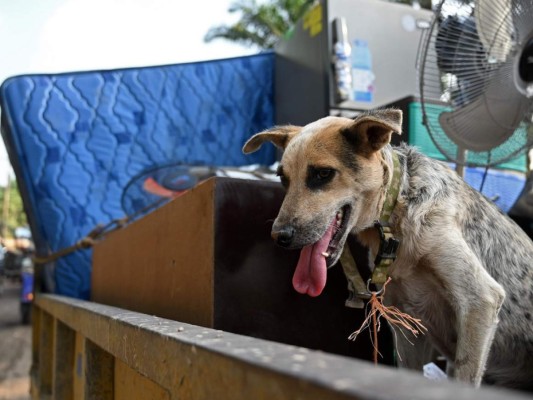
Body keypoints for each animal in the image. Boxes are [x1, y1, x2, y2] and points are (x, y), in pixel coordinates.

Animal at [242, 108, 532, 390]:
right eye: (282, 178)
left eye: (323, 174)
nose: (279, 237)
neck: (396, 211)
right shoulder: (407, 322)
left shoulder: (480, 300)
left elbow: (464, 378)